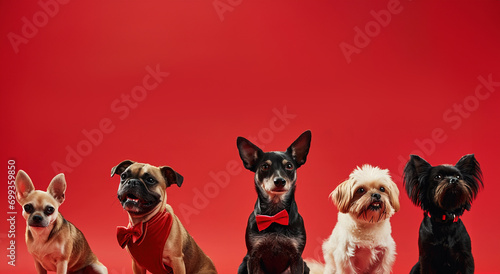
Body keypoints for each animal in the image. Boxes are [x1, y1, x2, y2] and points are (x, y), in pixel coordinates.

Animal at [236, 131, 310, 274]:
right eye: (265, 166)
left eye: (289, 166)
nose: (279, 180)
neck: (275, 214)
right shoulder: (253, 257)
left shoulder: (297, 258)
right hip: (242, 265)